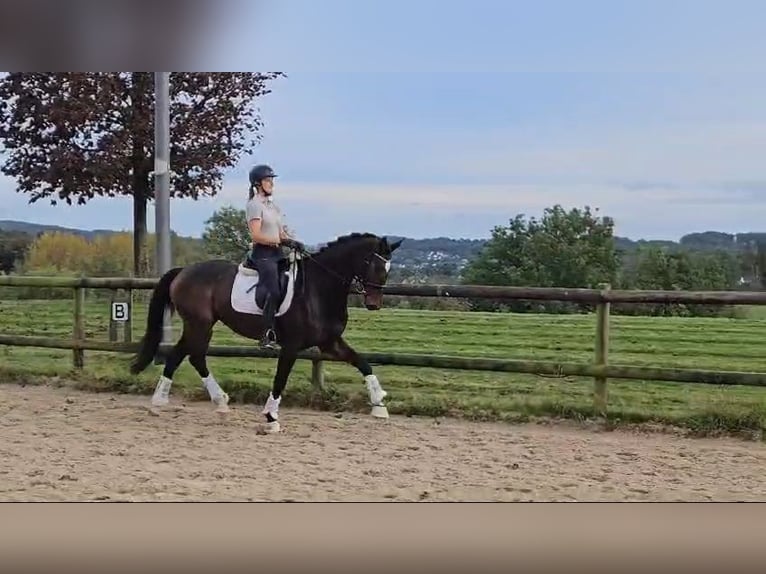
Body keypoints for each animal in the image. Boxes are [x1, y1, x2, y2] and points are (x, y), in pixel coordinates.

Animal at [129, 232, 404, 434]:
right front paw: (271, 418)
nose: (374, 303)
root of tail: (184, 271)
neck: (318, 289)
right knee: (194, 356)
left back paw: (170, 402)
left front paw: (379, 405)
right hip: (200, 324)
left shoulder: (329, 343)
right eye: (372, 263)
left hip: (199, 325)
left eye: (389, 267)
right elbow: (280, 379)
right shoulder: (292, 346)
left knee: (182, 354)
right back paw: (200, 401)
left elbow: (363, 363)